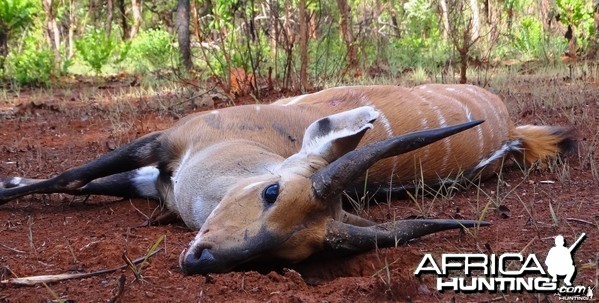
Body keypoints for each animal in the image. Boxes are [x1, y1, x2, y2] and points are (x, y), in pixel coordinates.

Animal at [0, 85, 576, 276]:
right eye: (271, 190)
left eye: (295, 253)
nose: (200, 260)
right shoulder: (161, 145)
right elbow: (74, 176)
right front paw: (9, 186)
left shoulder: (156, 171)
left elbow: (81, 181)